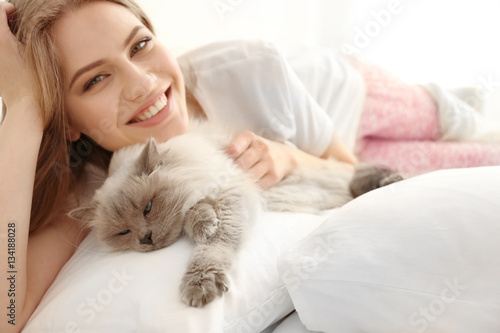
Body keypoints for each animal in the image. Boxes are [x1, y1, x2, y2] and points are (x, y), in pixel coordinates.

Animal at [68, 122, 402, 306]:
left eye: (148, 207)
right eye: (123, 232)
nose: (146, 239)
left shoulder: (231, 194)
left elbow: (212, 247)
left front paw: (200, 281)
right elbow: (197, 217)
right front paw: (202, 223)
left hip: (334, 174)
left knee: (359, 174)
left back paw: (391, 179)